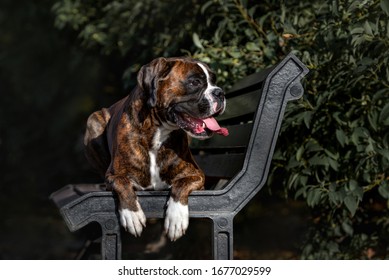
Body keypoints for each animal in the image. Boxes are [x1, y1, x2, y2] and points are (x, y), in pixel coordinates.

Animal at [83, 57, 226, 241]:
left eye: (214, 81)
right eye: (195, 82)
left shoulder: (196, 175)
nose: (220, 93)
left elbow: (181, 183)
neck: (157, 135)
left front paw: (176, 217)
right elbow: (122, 183)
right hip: (93, 120)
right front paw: (132, 214)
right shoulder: (113, 175)